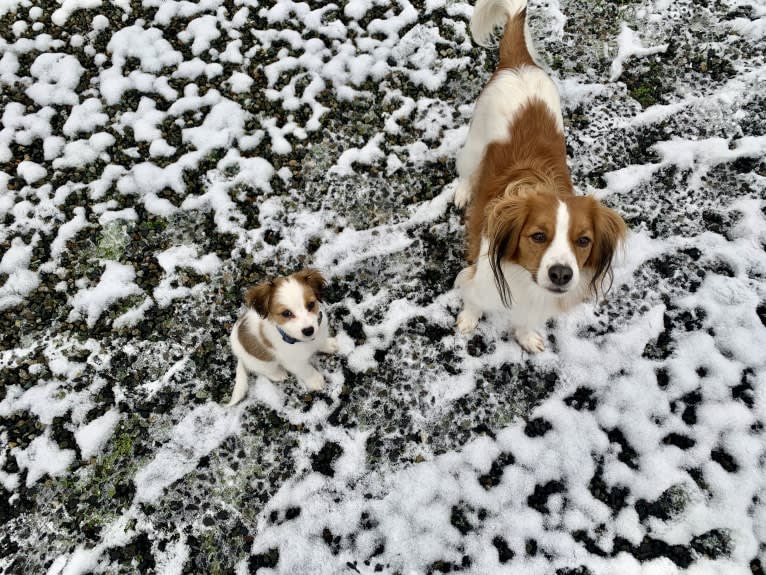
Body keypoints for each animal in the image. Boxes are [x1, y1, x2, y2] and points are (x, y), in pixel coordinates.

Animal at [226, 268, 338, 408]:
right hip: (263, 362)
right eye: (286, 313)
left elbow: (321, 341)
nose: (309, 330)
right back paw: (278, 374)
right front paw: (315, 380)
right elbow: (306, 370)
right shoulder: (293, 362)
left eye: (311, 304)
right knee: (265, 370)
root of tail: (239, 357)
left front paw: (329, 345)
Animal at [452, 0, 628, 354]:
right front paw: (468, 321)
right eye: (538, 236)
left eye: (583, 240)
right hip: (474, 145)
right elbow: (474, 301)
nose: (561, 274)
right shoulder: (479, 278)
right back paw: (463, 191)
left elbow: (526, 319)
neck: (524, 277)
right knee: (466, 170)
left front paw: (526, 336)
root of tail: (519, 64)